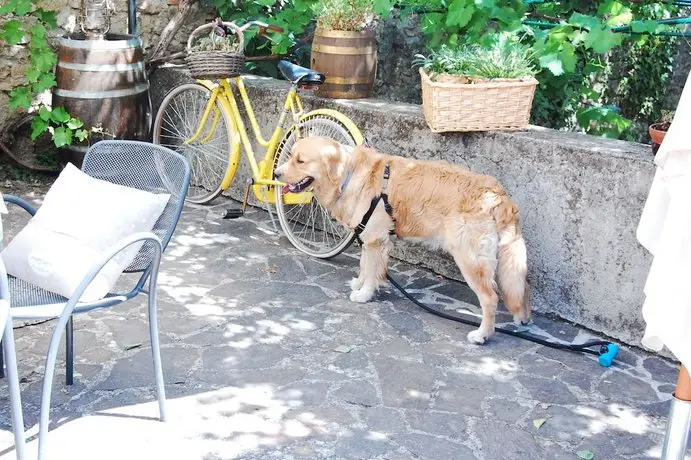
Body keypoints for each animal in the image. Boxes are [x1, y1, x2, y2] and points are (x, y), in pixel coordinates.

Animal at [274, 135, 528, 344]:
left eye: (300, 160)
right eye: (291, 155)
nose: (276, 173)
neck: (349, 175)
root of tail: (498, 196)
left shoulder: (375, 239)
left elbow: (370, 272)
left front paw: (364, 294)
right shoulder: (370, 237)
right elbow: (365, 265)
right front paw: (359, 283)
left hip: (470, 259)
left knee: (490, 298)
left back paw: (482, 334)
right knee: (521, 286)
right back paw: (523, 320)